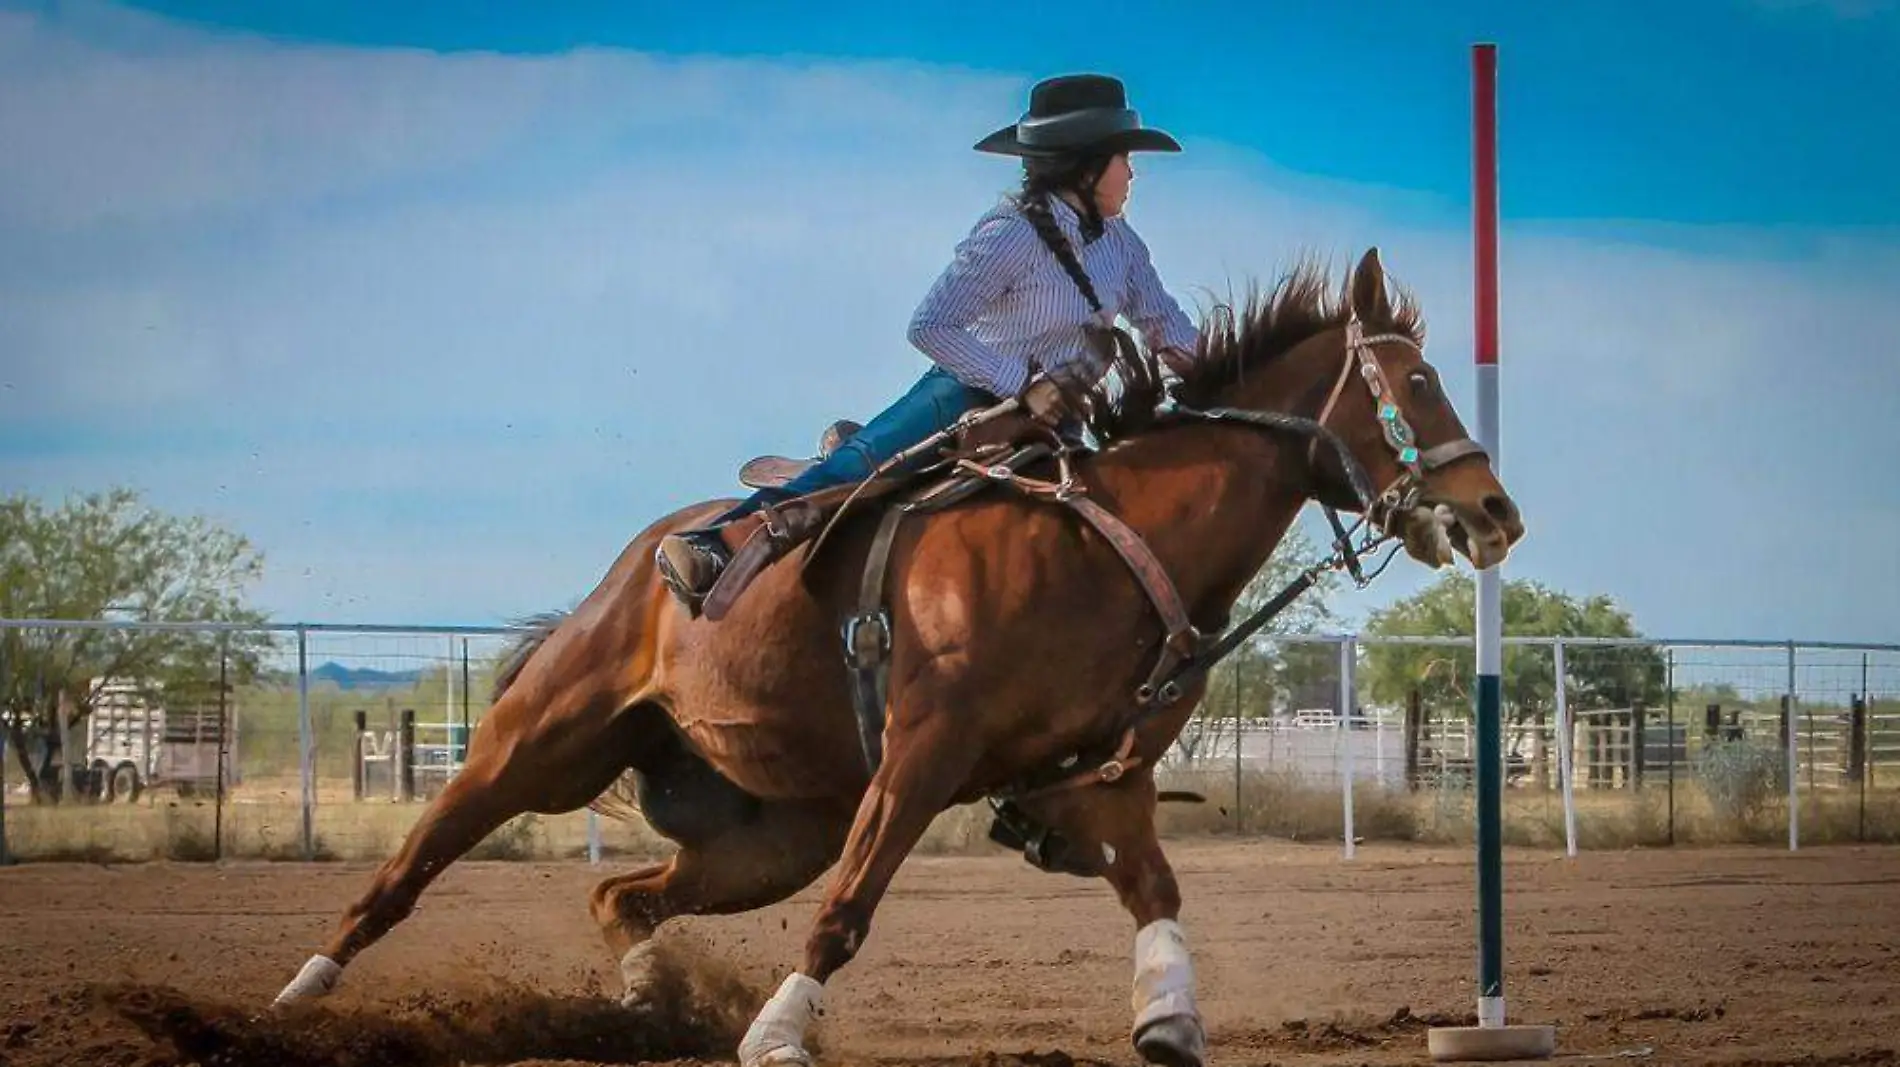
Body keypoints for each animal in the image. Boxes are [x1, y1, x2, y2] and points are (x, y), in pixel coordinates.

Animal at [267, 244, 1527, 1063]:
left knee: (623, 896)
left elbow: (1155, 888)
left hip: (769, 833)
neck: (1105, 543)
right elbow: (852, 908)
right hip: (538, 747)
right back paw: (295, 997)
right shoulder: (923, 755)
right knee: (408, 868)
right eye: (1416, 383)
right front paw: (777, 1033)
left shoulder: (1108, 779)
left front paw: (1169, 1016)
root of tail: (644, 557)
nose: (1495, 515)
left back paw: (640, 1007)